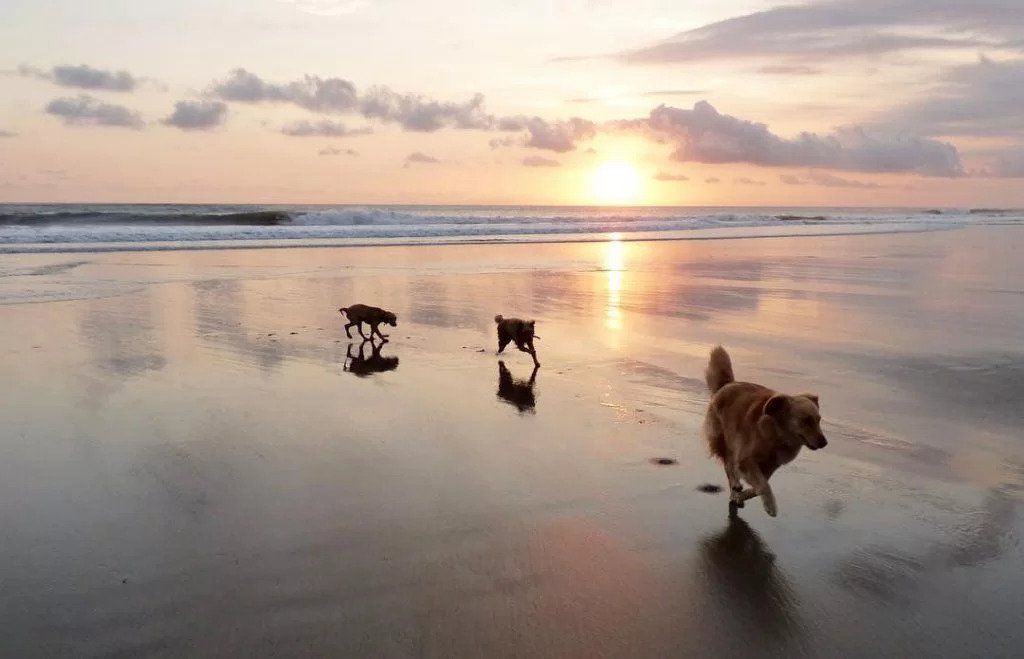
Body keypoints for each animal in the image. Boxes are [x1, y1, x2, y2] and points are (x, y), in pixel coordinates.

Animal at [704, 345, 823, 515]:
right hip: (723, 438)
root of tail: (727, 384)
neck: (777, 435)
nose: (824, 442)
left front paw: (742, 496)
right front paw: (770, 505)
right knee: (728, 465)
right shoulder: (746, 460)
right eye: (805, 421)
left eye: (819, 420)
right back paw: (735, 484)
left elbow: (758, 487)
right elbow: (763, 485)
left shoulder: (770, 466)